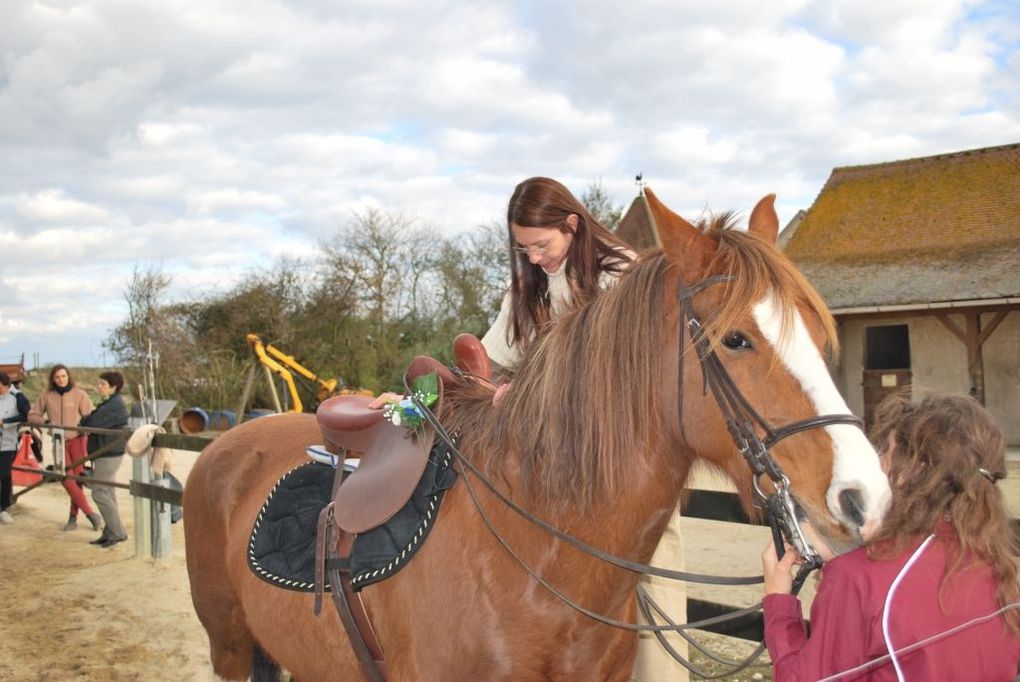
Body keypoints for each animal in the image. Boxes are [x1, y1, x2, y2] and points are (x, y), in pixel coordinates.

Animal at [187, 188, 889, 676]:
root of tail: (225, 443)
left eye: (816, 329)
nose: (865, 499)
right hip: (229, 646)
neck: (541, 555)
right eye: (737, 339)